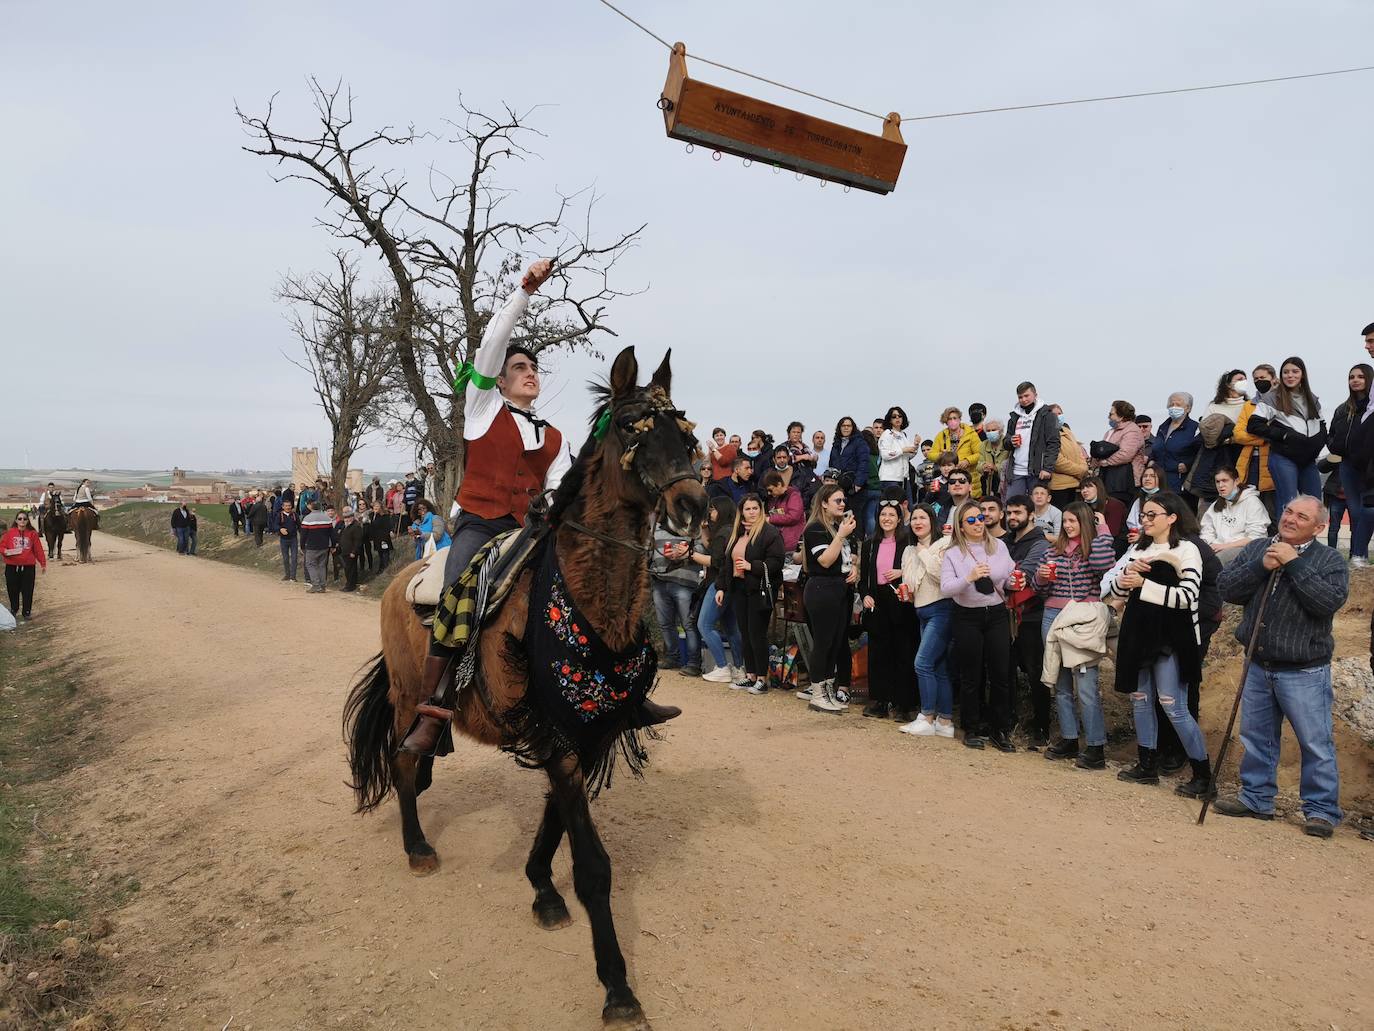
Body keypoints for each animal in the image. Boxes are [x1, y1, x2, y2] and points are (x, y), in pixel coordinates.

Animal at [343, 349, 708, 1031]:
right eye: (632, 428)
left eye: (688, 432)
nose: (694, 505)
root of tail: (404, 575)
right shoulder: (559, 732)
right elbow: (592, 866)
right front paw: (617, 986)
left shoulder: (588, 734)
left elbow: (555, 822)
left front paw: (541, 886)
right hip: (408, 698)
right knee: (403, 763)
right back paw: (417, 846)